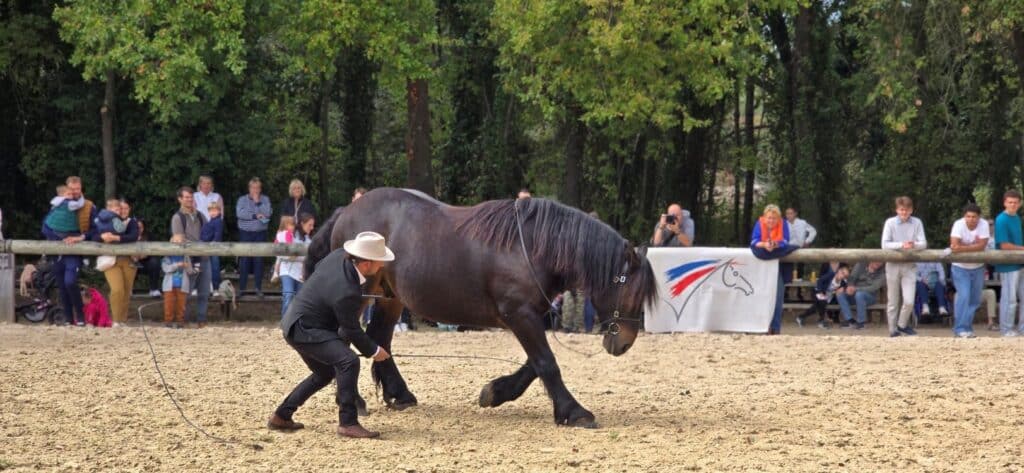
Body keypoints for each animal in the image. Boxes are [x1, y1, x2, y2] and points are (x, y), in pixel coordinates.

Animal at [305, 188, 658, 427]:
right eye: (631, 291)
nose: (624, 342)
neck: (534, 247)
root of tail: (347, 210)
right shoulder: (520, 315)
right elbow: (546, 363)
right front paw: (574, 411)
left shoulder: (532, 315)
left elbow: (534, 363)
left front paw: (496, 392)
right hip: (360, 294)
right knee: (346, 336)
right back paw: (356, 400)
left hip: (391, 297)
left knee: (380, 339)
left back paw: (399, 395)